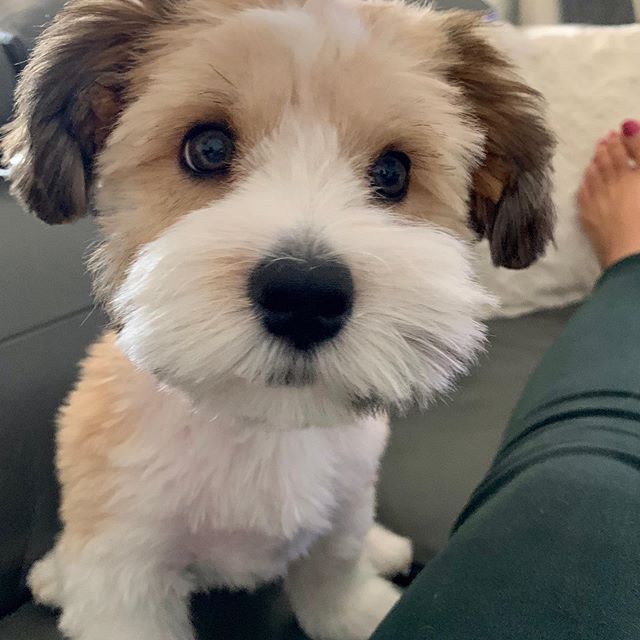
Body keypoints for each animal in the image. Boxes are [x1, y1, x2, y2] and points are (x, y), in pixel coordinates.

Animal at [1, 2, 556, 636]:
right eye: (208, 148)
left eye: (393, 172)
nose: (305, 295)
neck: (261, 427)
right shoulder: (126, 570)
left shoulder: (340, 518)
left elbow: (336, 584)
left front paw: (360, 604)